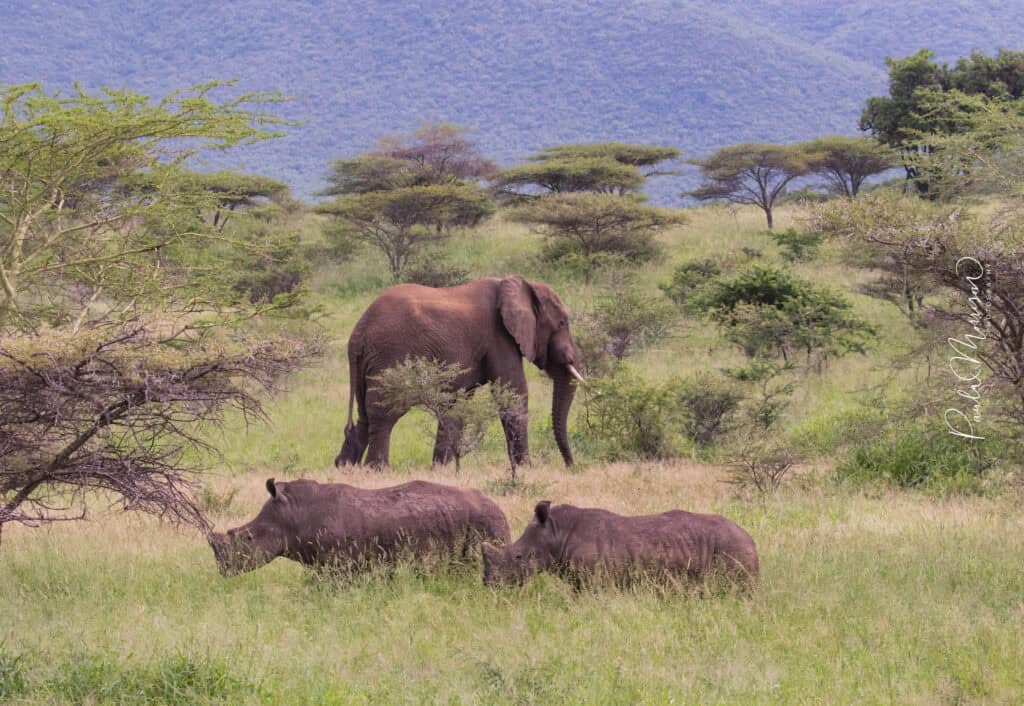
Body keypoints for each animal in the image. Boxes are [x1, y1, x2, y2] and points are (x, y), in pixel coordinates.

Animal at [335, 274, 585, 467]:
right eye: (562, 323)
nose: (570, 466)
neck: (520, 285)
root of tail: (358, 333)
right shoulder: (499, 337)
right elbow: (513, 394)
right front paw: (525, 470)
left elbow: (457, 405)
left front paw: (440, 469)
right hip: (389, 355)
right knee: (385, 414)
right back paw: (377, 470)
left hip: (370, 363)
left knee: (364, 416)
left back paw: (346, 467)